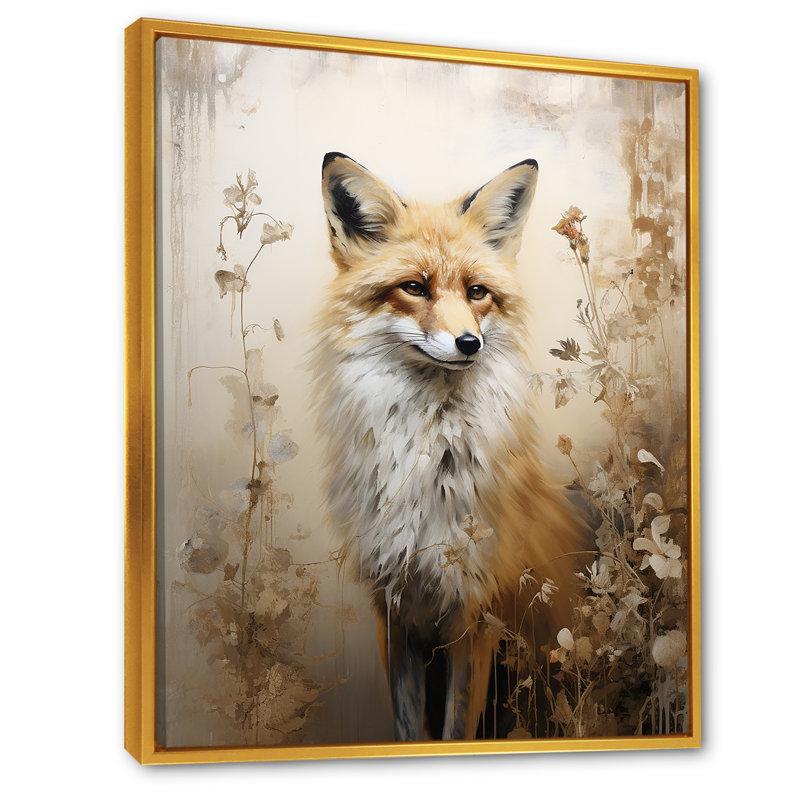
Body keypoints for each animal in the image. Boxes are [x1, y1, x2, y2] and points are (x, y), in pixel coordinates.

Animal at [312, 152, 588, 741]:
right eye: (415, 287)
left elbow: (456, 727)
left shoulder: (474, 613)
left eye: (477, 292)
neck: (428, 457)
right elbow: (408, 728)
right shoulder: (394, 610)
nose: (469, 344)